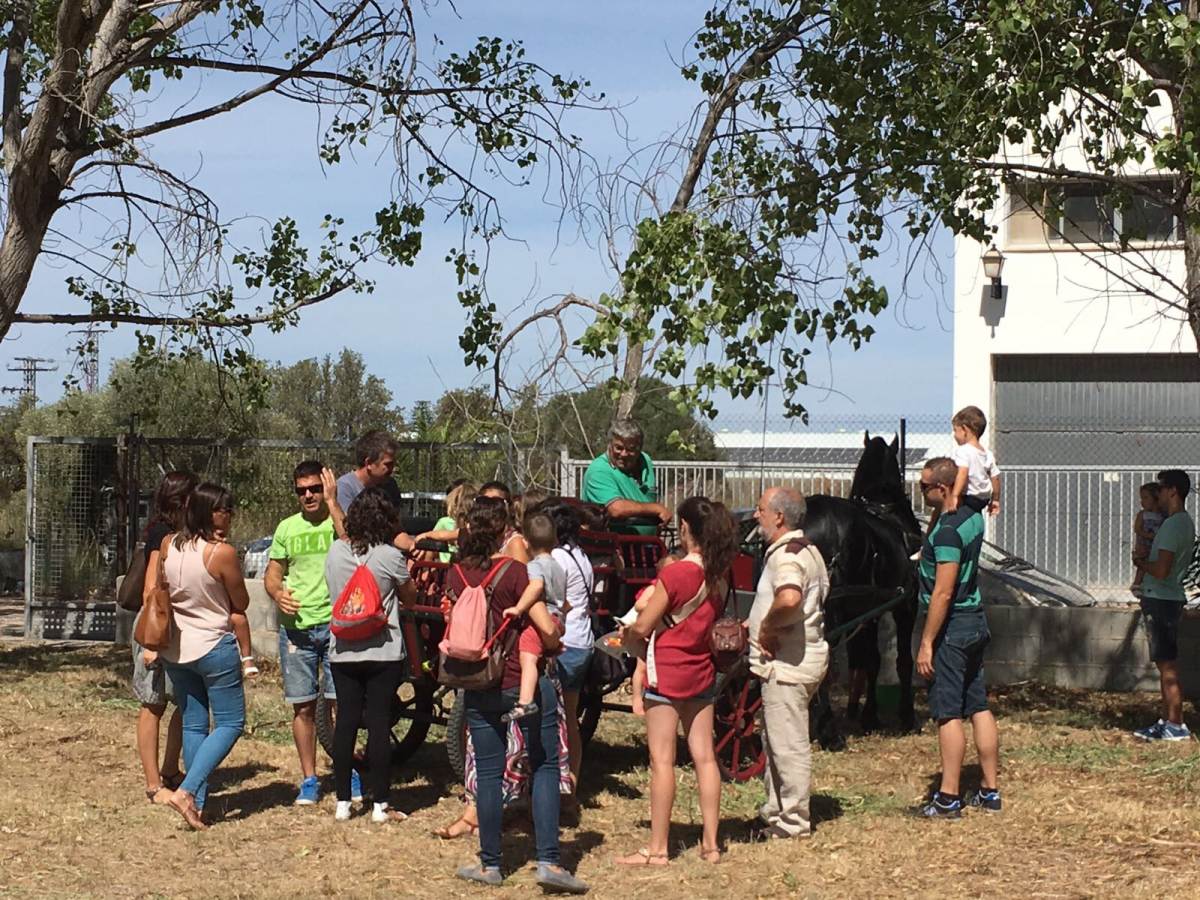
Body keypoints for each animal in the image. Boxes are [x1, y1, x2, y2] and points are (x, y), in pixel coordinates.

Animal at [806, 432, 916, 748]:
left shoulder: (867, 611)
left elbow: (870, 660)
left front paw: (868, 716)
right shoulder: (906, 604)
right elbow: (901, 660)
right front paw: (906, 716)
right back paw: (828, 730)